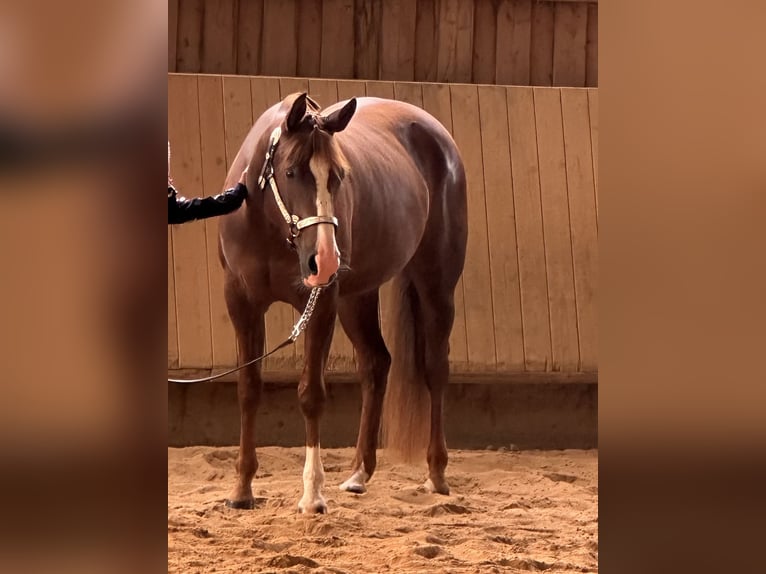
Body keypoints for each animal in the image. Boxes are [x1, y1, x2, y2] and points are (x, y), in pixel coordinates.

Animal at [217, 92, 467, 513]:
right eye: (290, 172)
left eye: (338, 176)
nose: (325, 259)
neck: (268, 226)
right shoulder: (242, 302)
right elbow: (248, 390)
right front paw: (241, 490)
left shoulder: (320, 303)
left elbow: (311, 394)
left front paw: (312, 496)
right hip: (357, 297)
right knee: (376, 364)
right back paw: (358, 474)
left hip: (436, 283)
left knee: (435, 368)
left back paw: (436, 474)